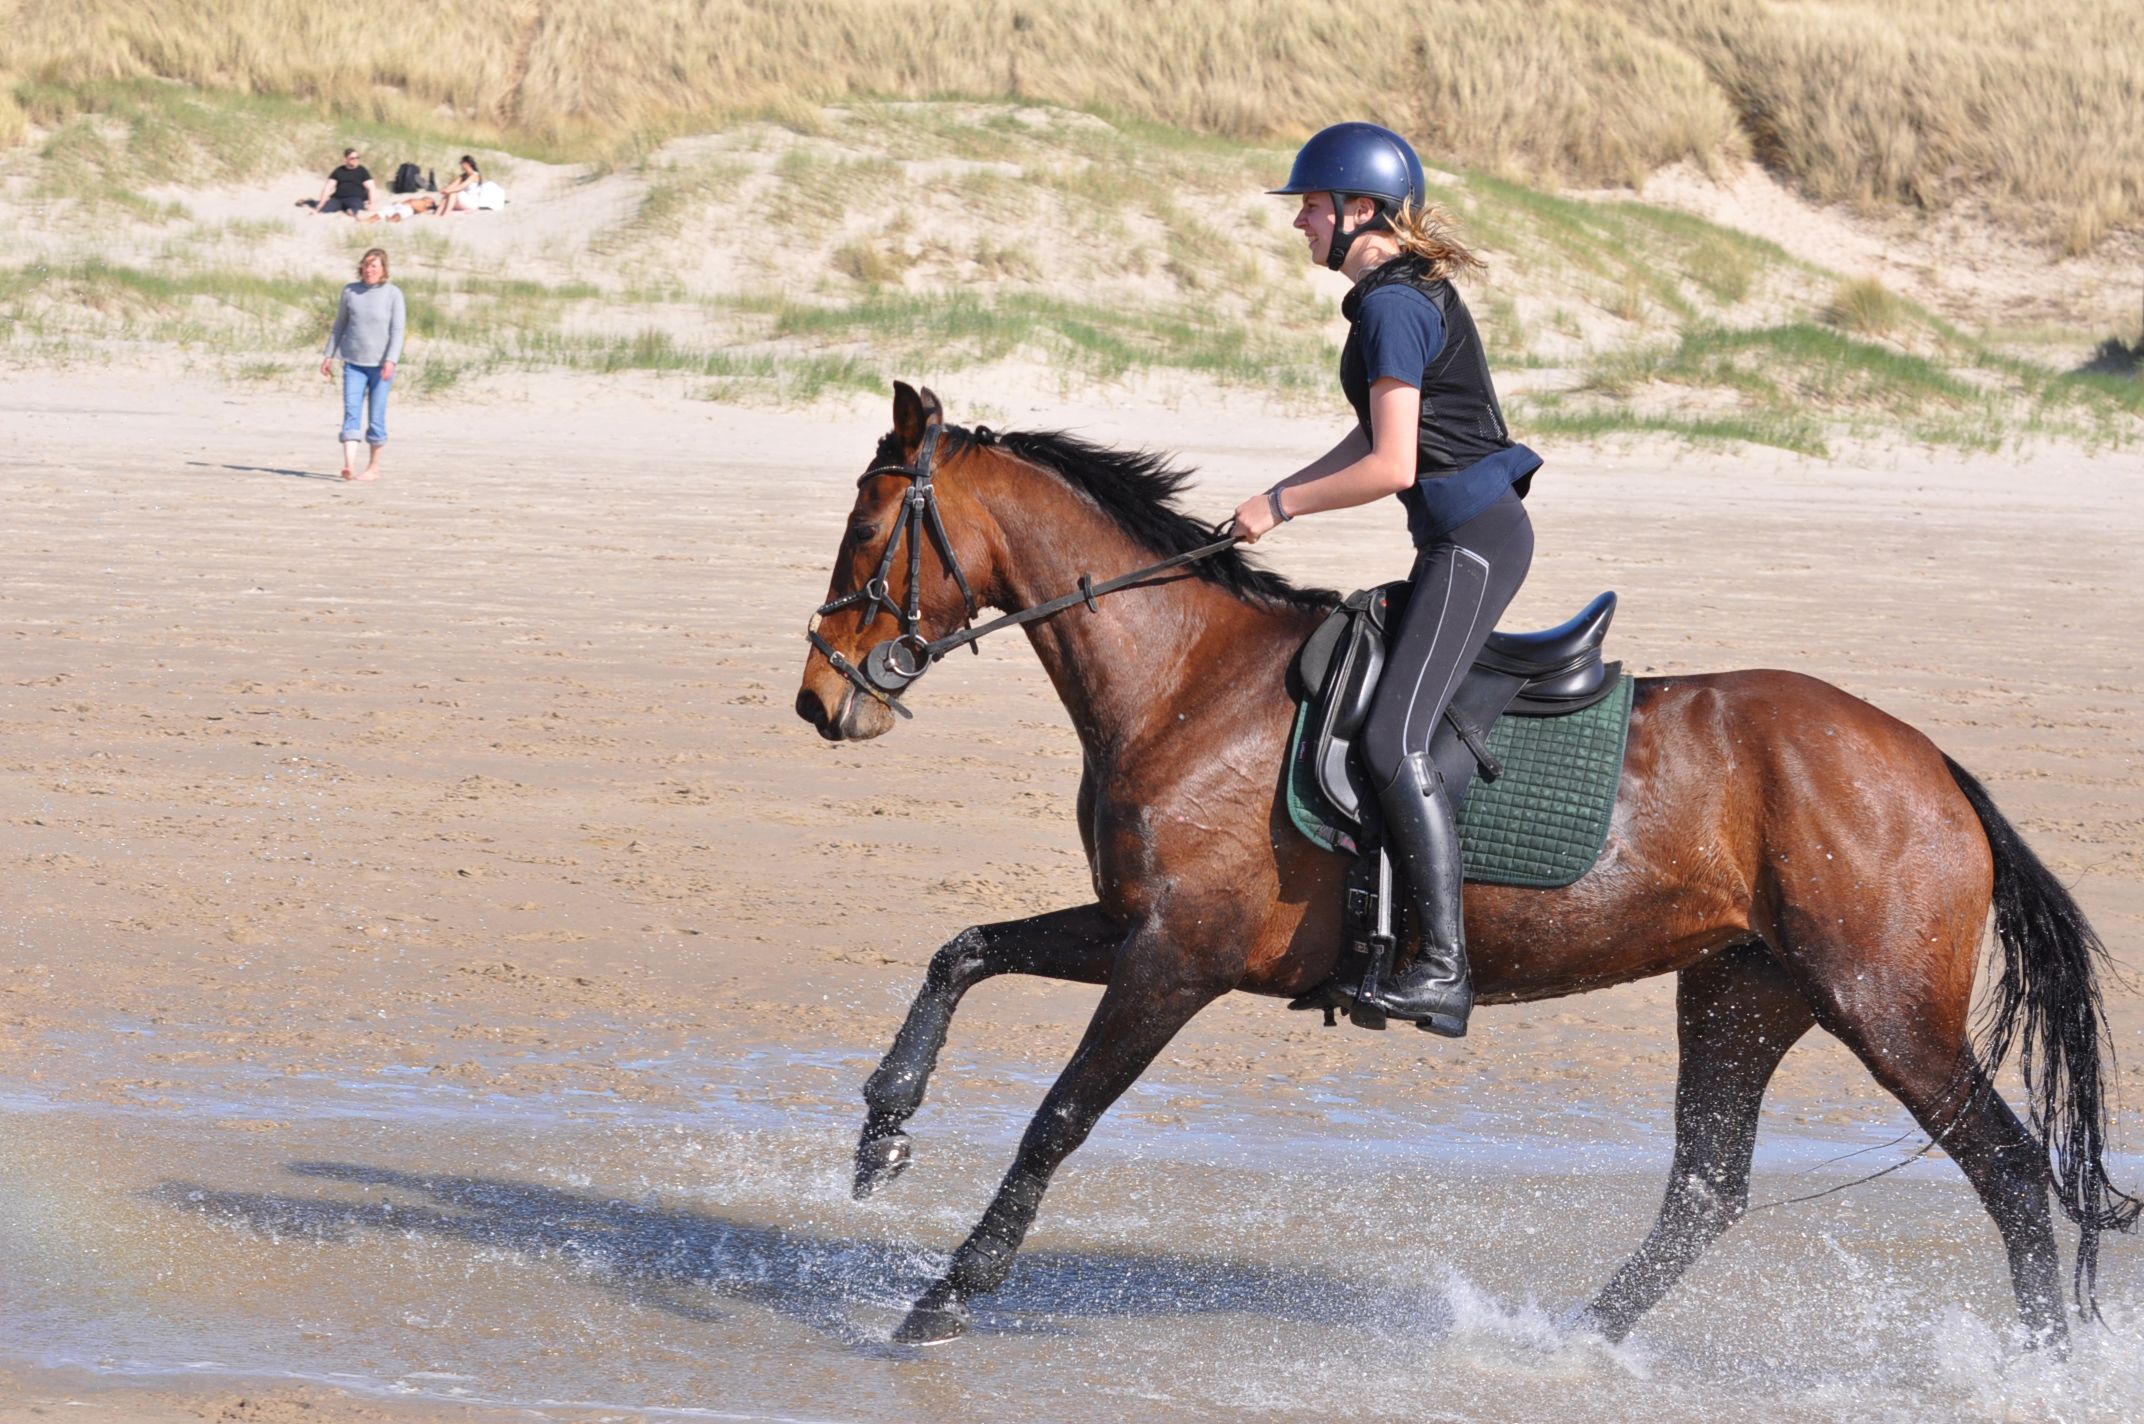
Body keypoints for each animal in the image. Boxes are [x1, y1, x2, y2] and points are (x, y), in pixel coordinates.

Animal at [793, 382, 2137, 1348]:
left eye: (865, 529)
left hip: (1884, 1006)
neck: (1183, 680)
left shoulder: (1177, 956)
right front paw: (882, 1130)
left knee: (2006, 1169)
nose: (819, 701)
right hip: (1744, 993)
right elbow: (962, 951)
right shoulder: (1133, 925)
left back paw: (2038, 1363)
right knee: (1704, 1189)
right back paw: (1570, 1343)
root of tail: (1931, 765)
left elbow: (1057, 1118)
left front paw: (945, 1297)